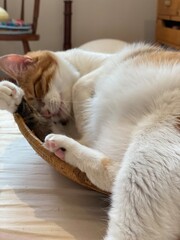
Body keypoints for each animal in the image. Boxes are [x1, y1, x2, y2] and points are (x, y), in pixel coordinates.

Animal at [0, 42, 180, 239]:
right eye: (38, 108)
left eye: (38, 89)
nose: (46, 113)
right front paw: (9, 95)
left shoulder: (101, 69)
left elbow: (79, 88)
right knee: (113, 174)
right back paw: (63, 148)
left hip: (152, 148)